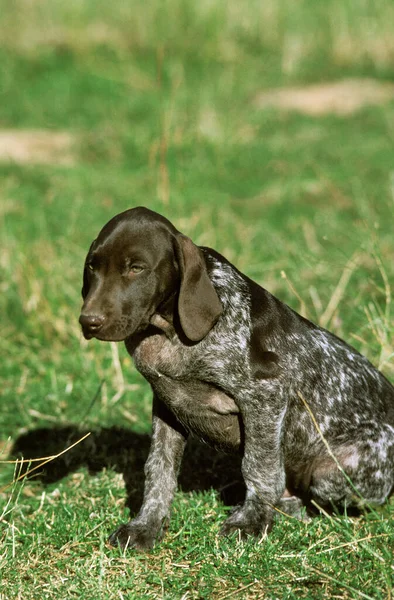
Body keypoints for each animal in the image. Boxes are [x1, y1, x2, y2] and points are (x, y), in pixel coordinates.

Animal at [79, 205, 394, 548]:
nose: (88, 321)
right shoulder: (165, 403)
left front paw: (251, 521)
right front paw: (147, 524)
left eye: (136, 268)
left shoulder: (266, 393)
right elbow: (159, 470)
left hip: (333, 471)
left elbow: (259, 466)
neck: (168, 330)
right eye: (93, 267)